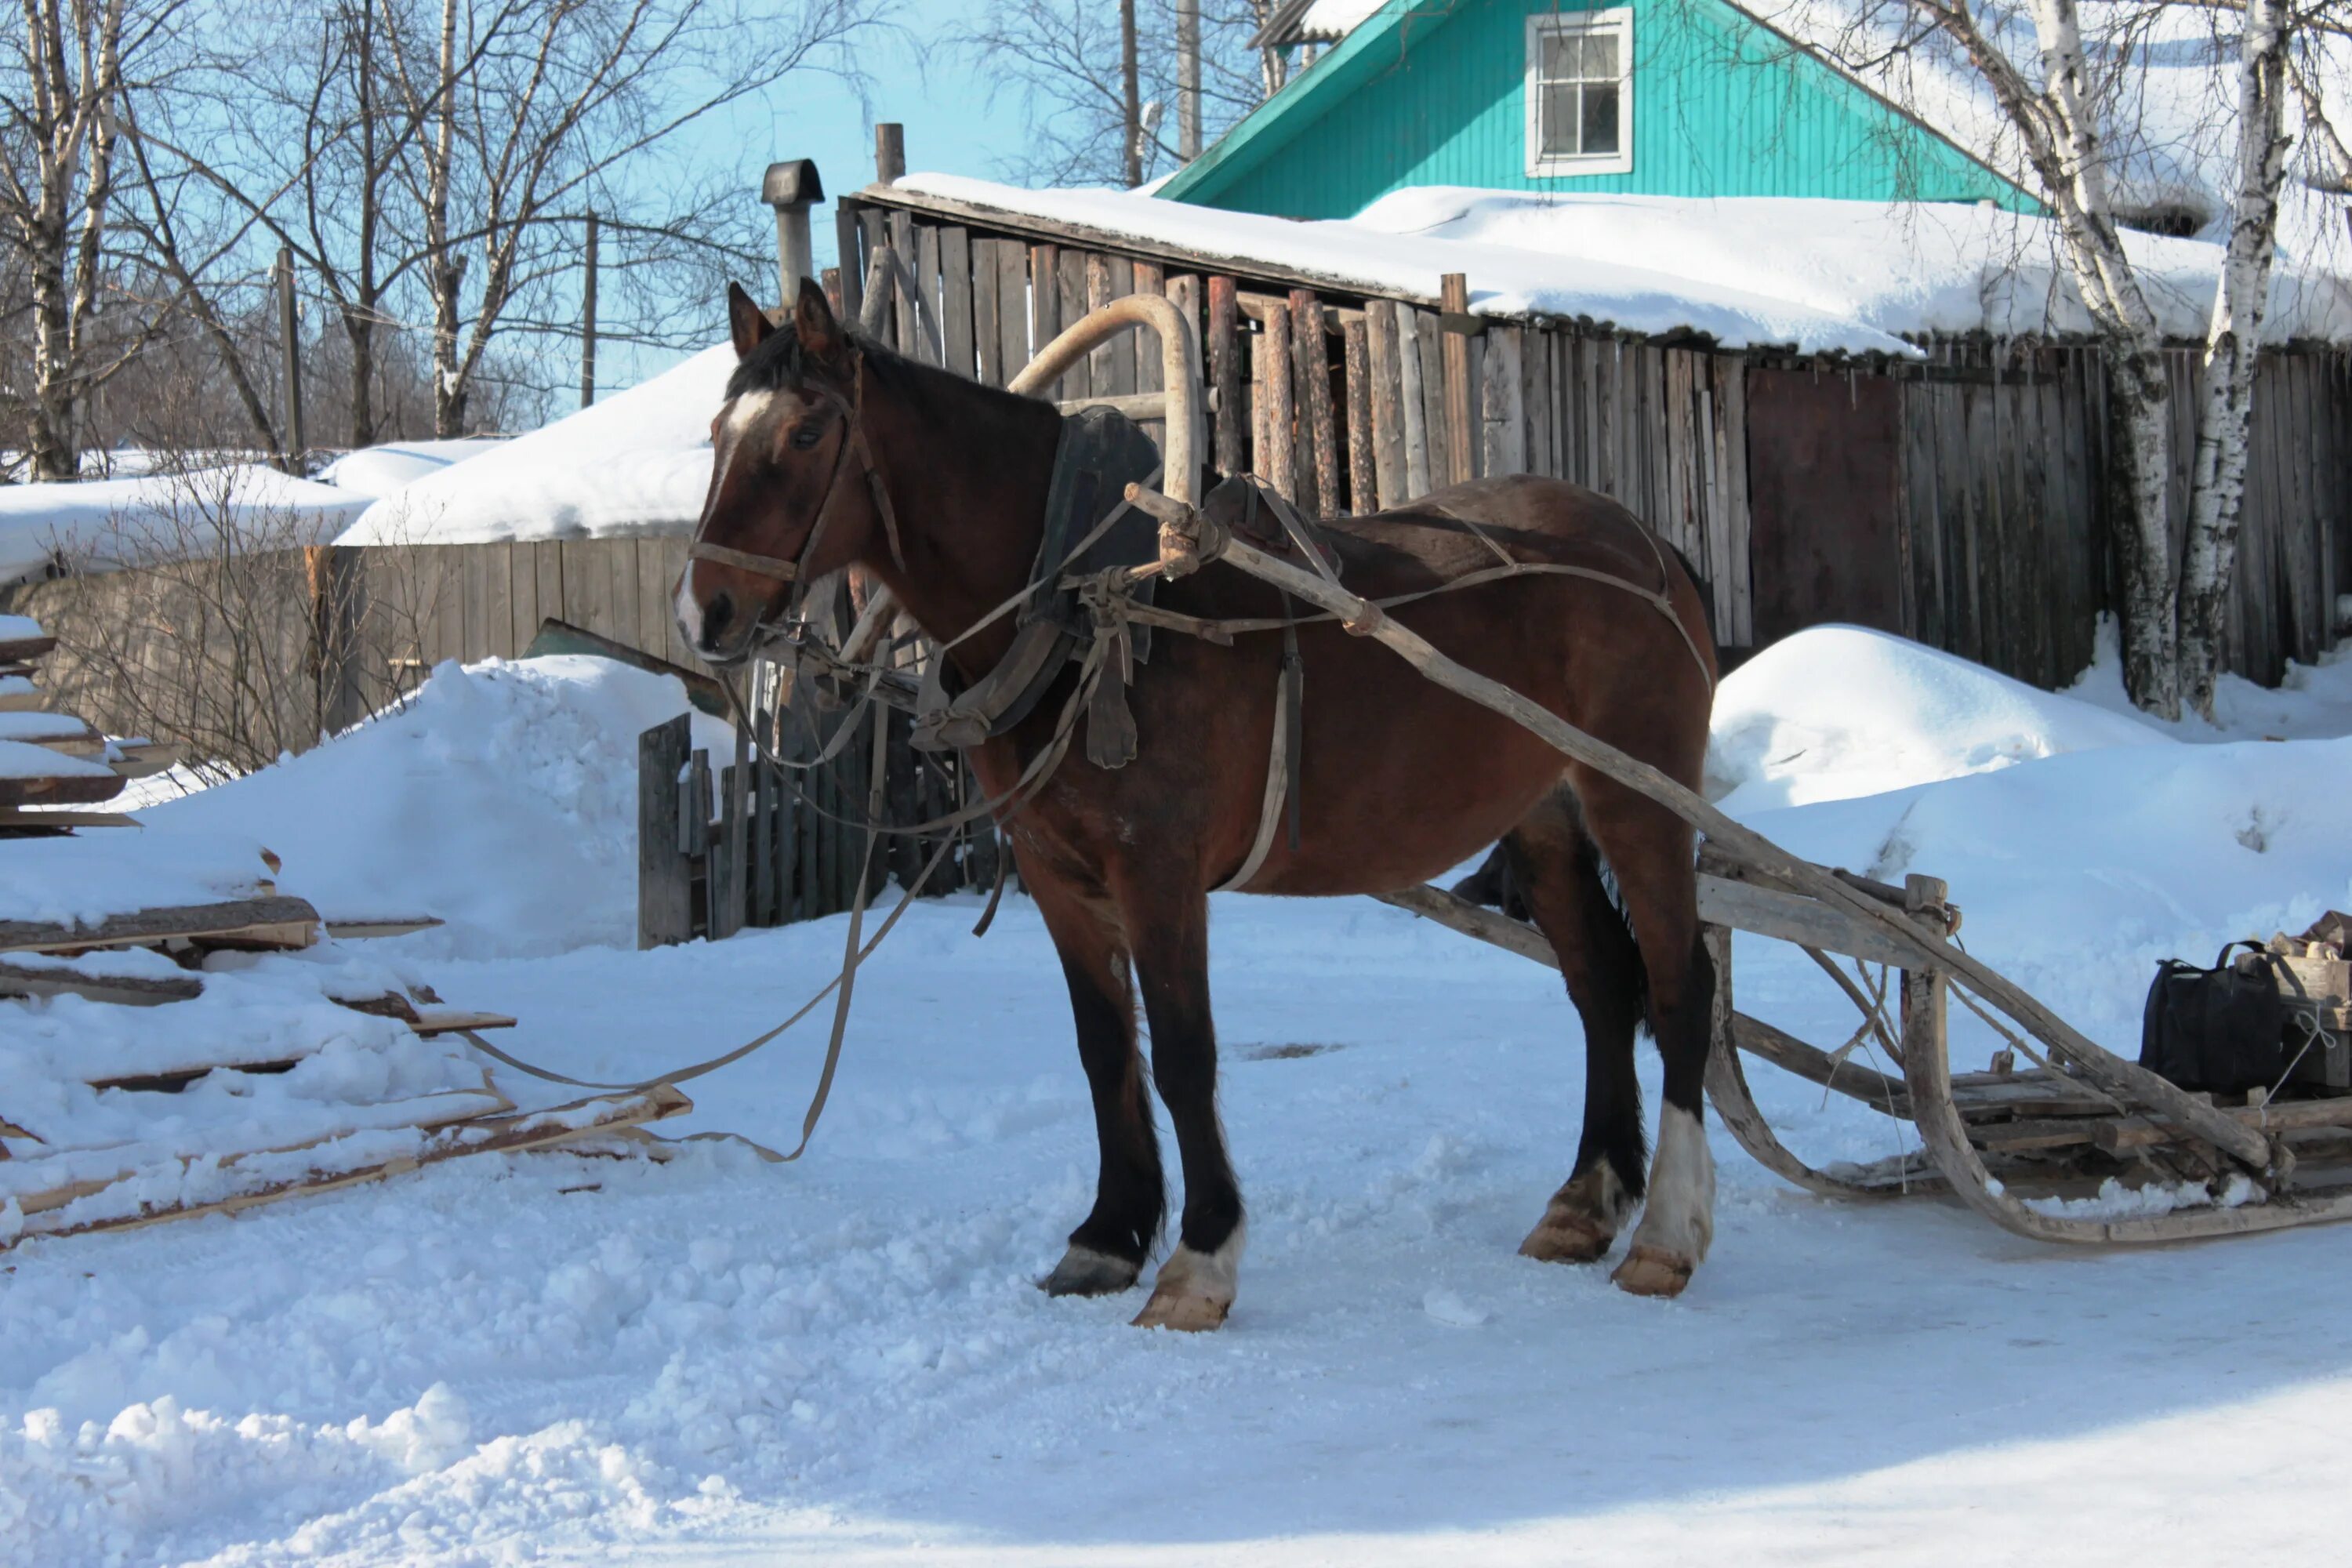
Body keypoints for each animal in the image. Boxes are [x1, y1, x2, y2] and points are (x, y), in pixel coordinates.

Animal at [682, 281, 1731, 1326]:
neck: (1079, 600)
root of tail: (1651, 545)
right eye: (717, 433)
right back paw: (1586, 1199)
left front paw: (1199, 1258)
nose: (704, 614)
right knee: (1603, 982)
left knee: (1681, 983)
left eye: (807, 432)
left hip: (1637, 800)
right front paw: (1107, 1237)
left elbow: (1186, 1053)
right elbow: (1106, 1049)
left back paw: (1666, 1231)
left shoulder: (1159, 871)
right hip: (1544, 816)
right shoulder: (1058, 876)